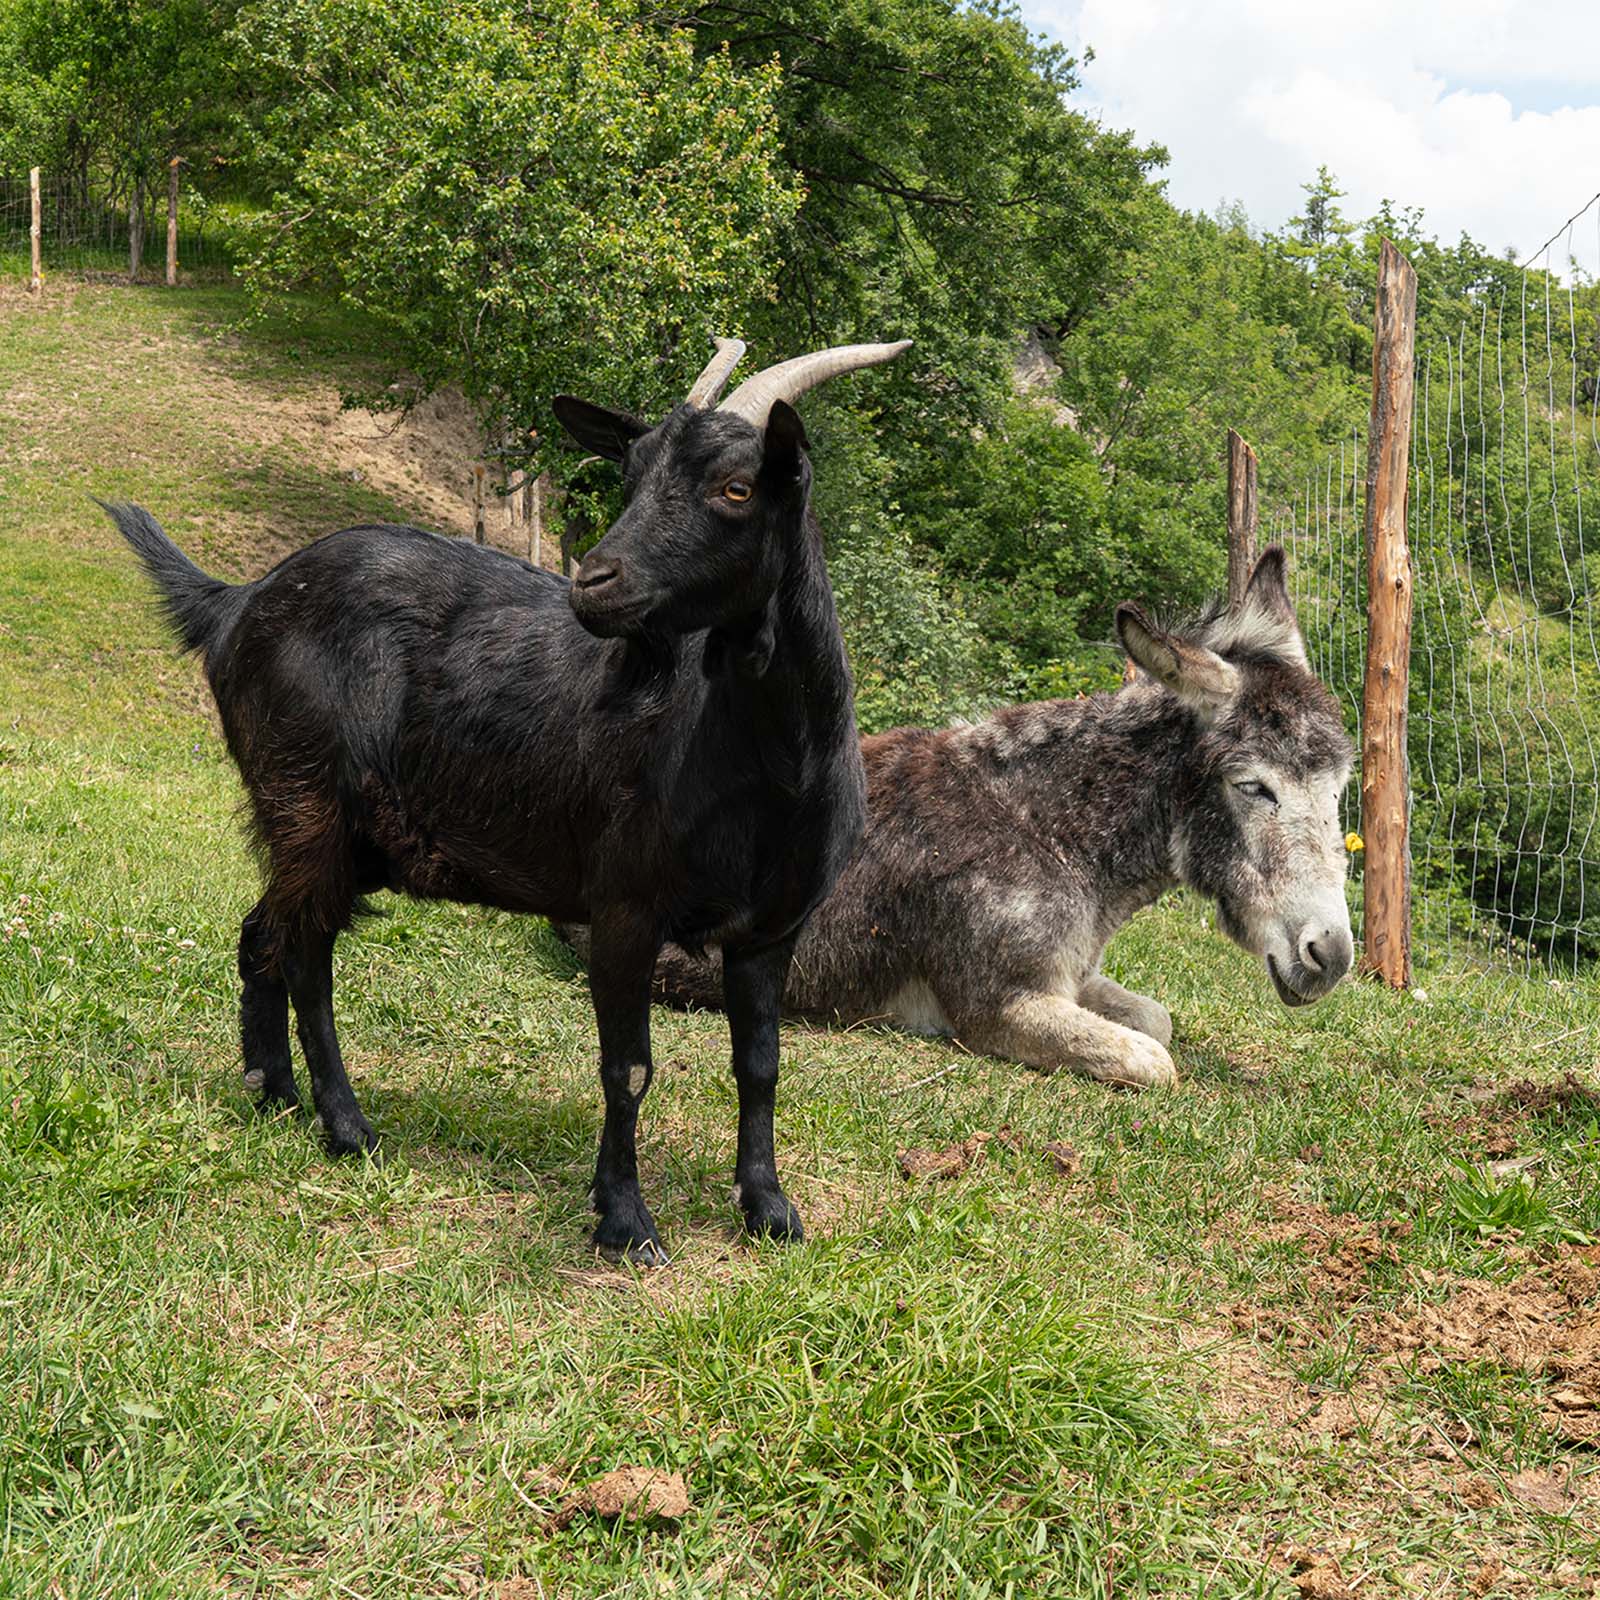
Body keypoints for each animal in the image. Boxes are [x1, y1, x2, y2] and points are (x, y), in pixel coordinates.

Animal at [106, 337, 908, 1260]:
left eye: (736, 488)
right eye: (630, 474)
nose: (595, 581)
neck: (769, 772)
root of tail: (237, 602)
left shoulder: (773, 928)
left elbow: (762, 1065)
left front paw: (770, 1209)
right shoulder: (625, 904)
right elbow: (629, 1066)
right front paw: (625, 1221)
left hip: (340, 834)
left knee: (260, 930)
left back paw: (271, 1091)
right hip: (306, 799)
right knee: (307, 954)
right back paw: (346, 1126)